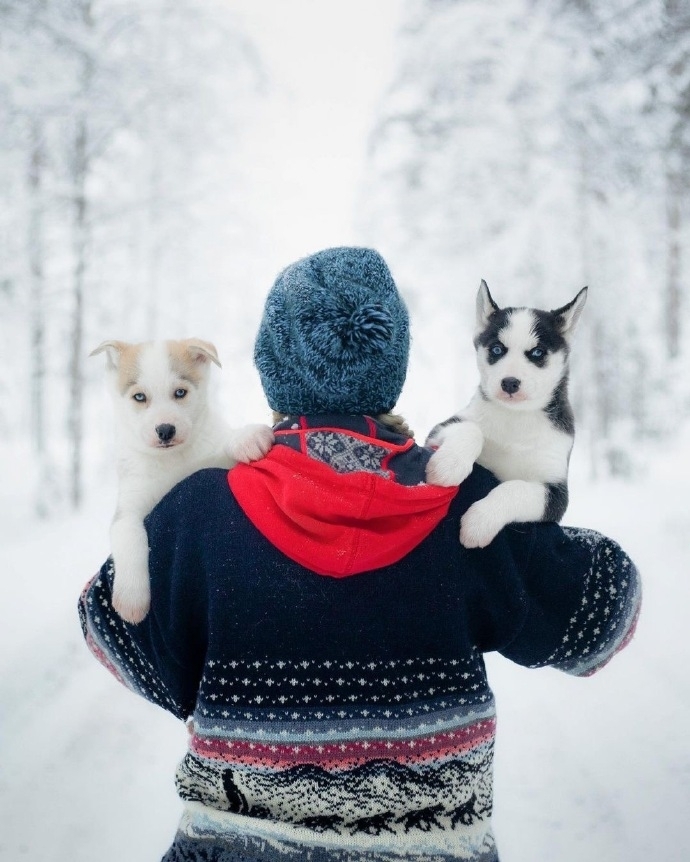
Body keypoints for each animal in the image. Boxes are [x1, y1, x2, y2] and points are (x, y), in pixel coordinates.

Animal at [91, 340, 274, 628]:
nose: (165, 430)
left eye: (180, 392)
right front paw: (131, 598)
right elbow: (130, 537)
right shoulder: (128, 508)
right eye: (139, 397)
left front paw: (246, 438)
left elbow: (226, 443)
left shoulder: (213, 456)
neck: (172, 461)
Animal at [424, 280, 584, 552]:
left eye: (537, 353)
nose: (510, 383)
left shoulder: (556, 494)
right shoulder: (440, 430)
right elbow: (471, 430)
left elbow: (514, 487)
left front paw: (479, 521)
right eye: (497, 349)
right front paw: (449, 466)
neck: (515, 419)